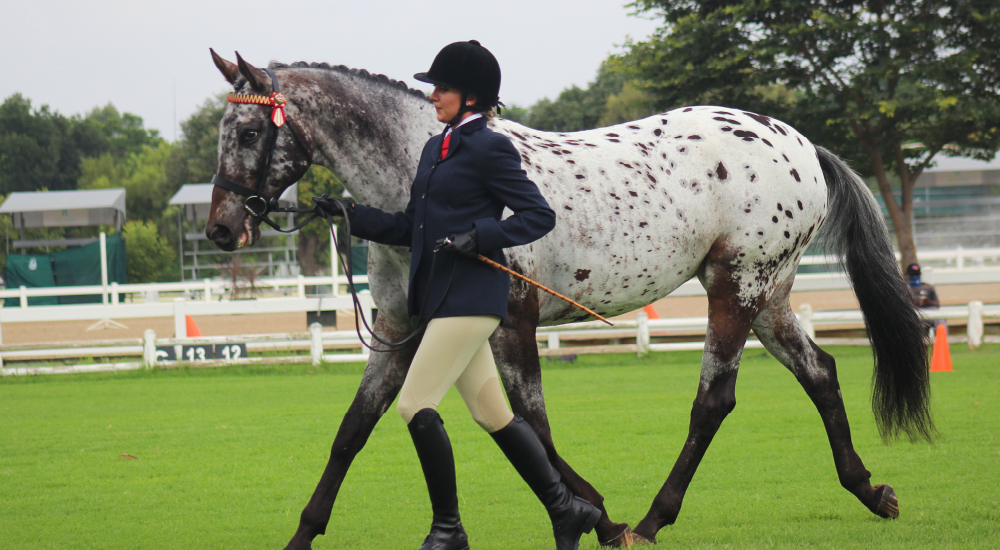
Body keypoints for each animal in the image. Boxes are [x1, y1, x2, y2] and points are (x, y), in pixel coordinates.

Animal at [205, 51, 933, 547]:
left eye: (248, 134)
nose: (220, 228)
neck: (425, 177)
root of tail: (798, 141)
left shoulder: (508, 326)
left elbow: (529, 424)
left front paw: (593, 517)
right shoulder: (400, 328)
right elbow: (354, 430)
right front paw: (303, 533)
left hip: (737, 287)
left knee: (714, 400)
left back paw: (652, 519)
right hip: (768, 294)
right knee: (821, 373)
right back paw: (871, 490)